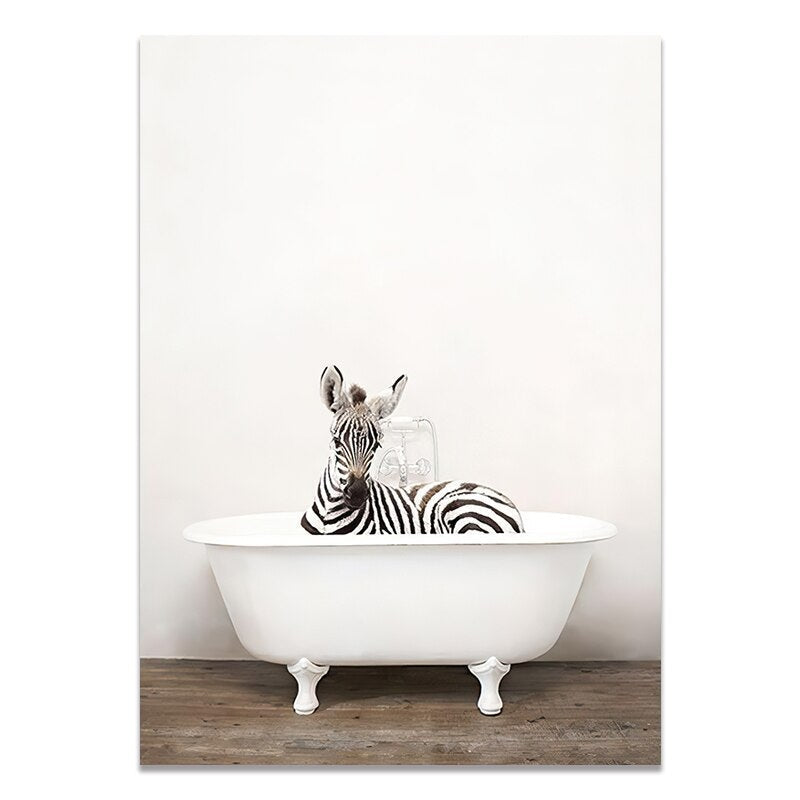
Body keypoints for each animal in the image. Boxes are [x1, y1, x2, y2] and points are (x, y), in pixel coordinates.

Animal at [301, 365, 524, 535]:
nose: (357, 493)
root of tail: (512, 507)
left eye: (377, 445)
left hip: (464, 511)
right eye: (336, 440)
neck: (329, 514)